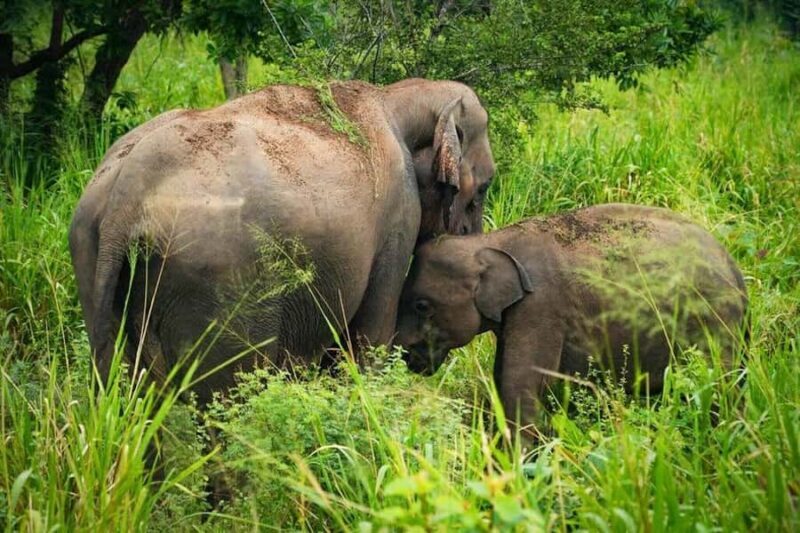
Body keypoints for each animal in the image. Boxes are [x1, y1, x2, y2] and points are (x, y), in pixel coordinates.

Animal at [69, 79, 495, 403]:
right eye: (483, 189)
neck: (394, 97)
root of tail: (126, 195)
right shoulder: (397, 217)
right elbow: (368, 339)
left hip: (92, 259)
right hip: (215, 286)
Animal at [396, 203, 747, 431]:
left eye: (421, 305)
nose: (406, 356)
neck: (490, 242)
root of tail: (735, 271)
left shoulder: (541, 306)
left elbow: (519, 384)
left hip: (715, 324)